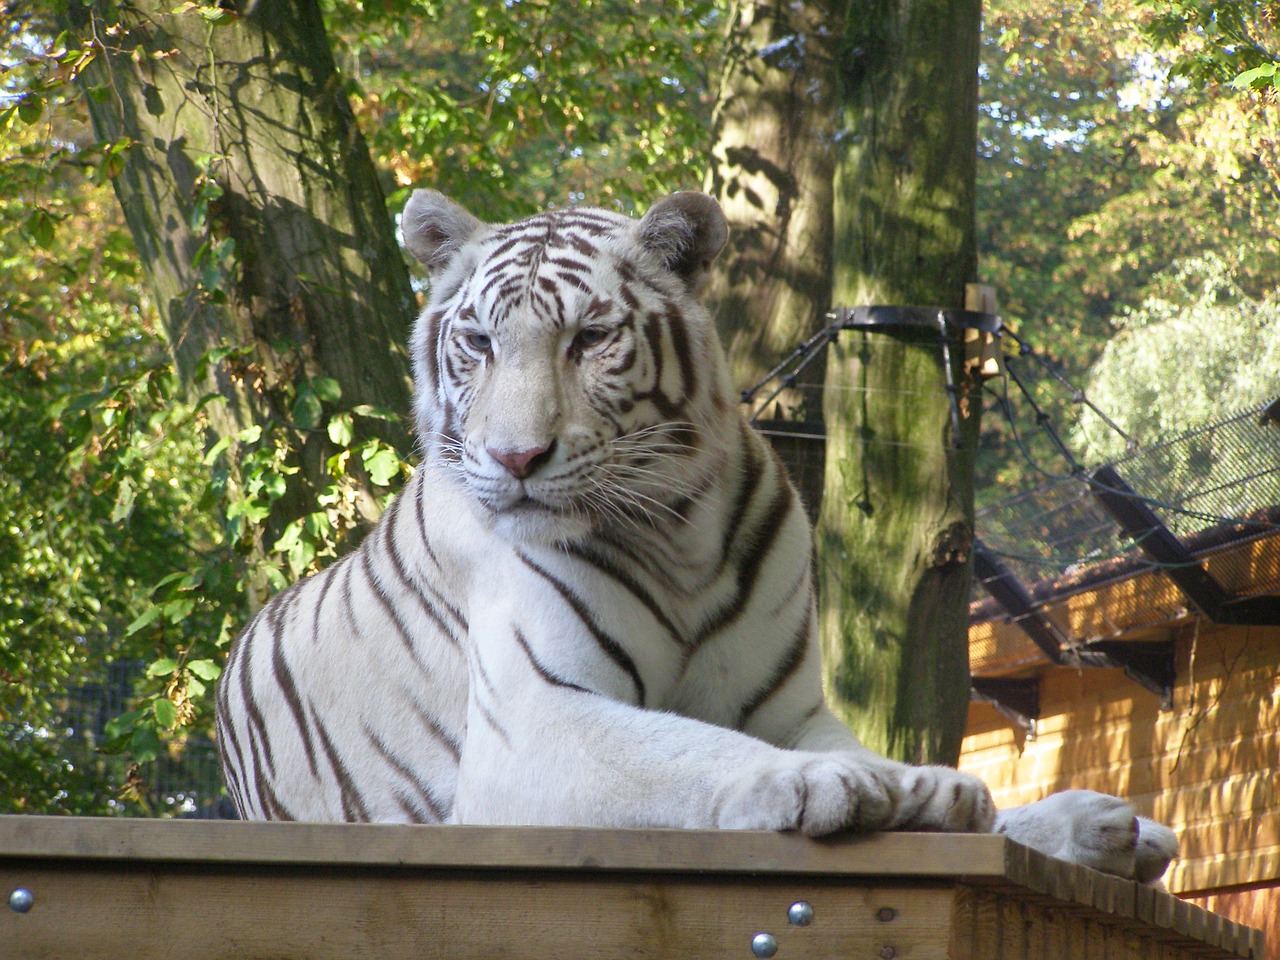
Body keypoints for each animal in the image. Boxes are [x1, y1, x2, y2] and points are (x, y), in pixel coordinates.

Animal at [212, 189, 1177, 885]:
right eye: (479, 342)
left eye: (590, 338)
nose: (514, 457)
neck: (677, 530)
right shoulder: (532, 718)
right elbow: (685, 750)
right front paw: (843, 787)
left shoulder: (790, 708)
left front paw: (921, 787)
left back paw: (1105, 827)